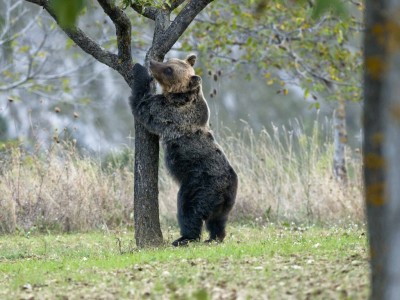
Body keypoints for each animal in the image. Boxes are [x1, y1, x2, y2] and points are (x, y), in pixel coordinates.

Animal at [130, 54, 238, 246]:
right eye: (169, 60)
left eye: (169, 70)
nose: (152, 63)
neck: (179, 96)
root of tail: (227, 189)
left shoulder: (168, 112)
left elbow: (143, 105)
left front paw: (138, 70)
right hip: (225, 203)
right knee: (218, 221)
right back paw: (214, 238)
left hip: (200, 185)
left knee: (189, 211)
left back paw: (184, 238)